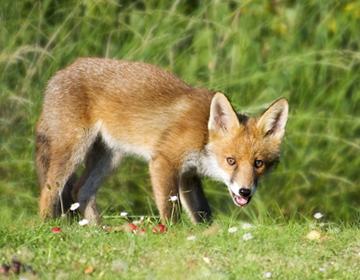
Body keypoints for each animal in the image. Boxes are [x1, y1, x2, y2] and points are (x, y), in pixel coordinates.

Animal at [35, 57, 290, 225]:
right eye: (231, 161)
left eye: (258, 163)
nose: (245, 192)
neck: (203, 134)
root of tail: (58, 74)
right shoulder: (165, 162)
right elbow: (170, 209)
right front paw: (171, 233)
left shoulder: (188, 174)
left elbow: (202, 212)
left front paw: (206, 233)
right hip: (74, 149)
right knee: (50, 189)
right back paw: (47, 225)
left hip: (110, 157)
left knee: (80, 191)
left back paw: (101, 229)